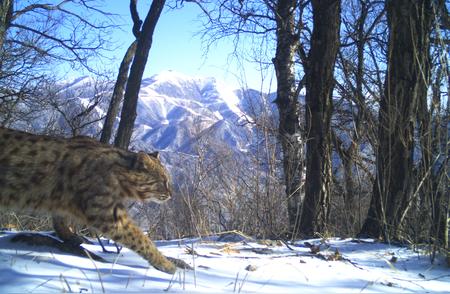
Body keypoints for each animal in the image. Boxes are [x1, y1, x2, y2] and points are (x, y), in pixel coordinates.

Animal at [0, 127, 179, 274]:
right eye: (164, 181)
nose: (171, 194)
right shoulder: (106, 213)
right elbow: (141, 238)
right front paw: (166, 264)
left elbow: (60, 219)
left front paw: (69, 236)